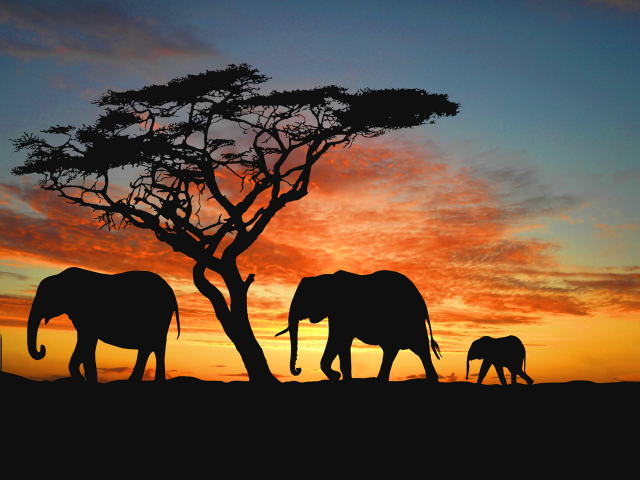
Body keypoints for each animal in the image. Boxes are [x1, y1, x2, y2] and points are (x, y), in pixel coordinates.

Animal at [27, 267, 180, 382]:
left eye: (45, 297)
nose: (42, 348)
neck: (60, 277)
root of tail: (172, 294)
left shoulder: (87, 315)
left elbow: (86, 343)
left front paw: (86, 380)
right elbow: (86, 344)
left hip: (159, 316)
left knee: (154, 346)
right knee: (150, 347)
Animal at [275, 270, 442, 382]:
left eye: (304, 300)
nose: (298, 369)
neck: (325, 278)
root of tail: (422, 303)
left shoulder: (341, 311)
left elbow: (338, 339)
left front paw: (338, 376)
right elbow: (338, 342)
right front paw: (338, 377)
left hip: (410, 320)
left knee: (418, 348)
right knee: (396, 349)